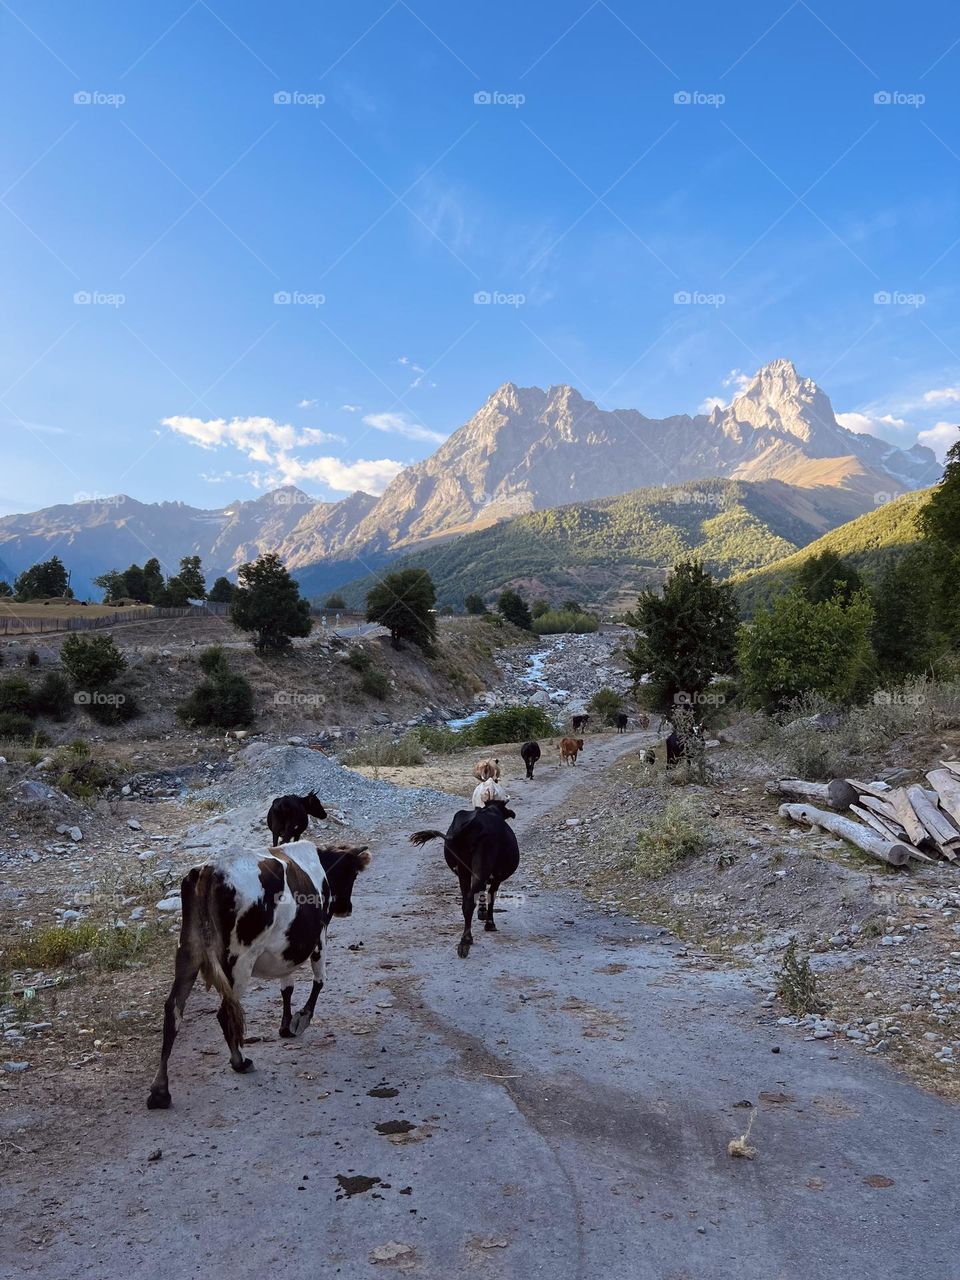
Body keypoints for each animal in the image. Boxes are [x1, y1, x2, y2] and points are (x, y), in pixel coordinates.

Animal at [146, 840, 370, 1109]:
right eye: (352, 874)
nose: (347, 908)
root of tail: (211, 870)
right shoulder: (319, 936)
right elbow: (319, 981)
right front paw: (301, 1019)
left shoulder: (287, 946)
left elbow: (287, 987)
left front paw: (286, 1026)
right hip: (240, 961)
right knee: (226, 1011)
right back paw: (240, 1062)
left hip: (188, 952)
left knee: (174, 1010)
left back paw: (160, 1091)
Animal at [410, 801, 519, 958]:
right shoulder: (496, 878)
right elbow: (491, 897)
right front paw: (490, 923)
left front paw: (482, 914)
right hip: (480, 867)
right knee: (470, 901)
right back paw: (466, 940)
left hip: (463, 871)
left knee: (466, 901)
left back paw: (465, 939)